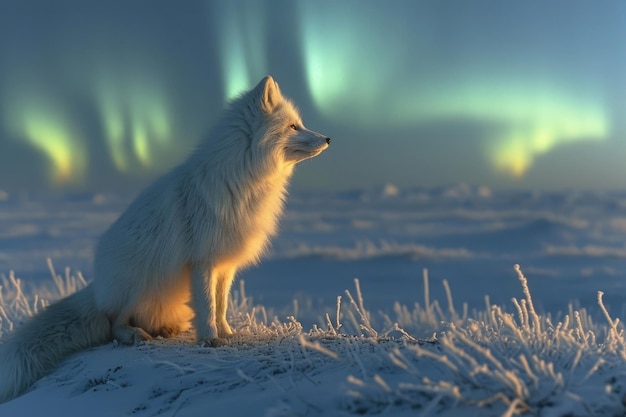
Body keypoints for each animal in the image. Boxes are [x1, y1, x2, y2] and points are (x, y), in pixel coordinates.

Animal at [0, 75, 332, 400]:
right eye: (293, 126)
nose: (328, 139)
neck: (242, 181)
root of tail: (97, 289)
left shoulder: (224, 265)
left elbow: (221, 304)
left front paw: (226, 333)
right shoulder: (201, 261)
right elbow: (206, 305)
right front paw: (209, 339)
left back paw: (166, 329)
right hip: (142, 282)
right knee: (113, 324)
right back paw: (134, 335)